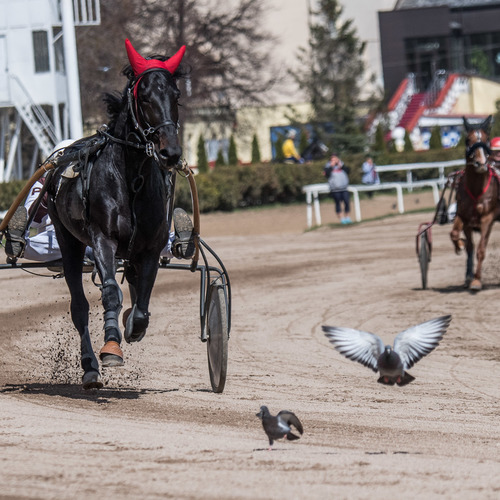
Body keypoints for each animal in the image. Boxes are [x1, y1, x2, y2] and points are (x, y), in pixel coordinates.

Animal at [46, 40, 188, 390]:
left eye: (176, 95)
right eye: (145, 96)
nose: (170, 152)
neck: (131, 178)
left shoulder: (150, 248)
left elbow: (143, 301)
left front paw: (133, 326)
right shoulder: (102, 239)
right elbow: (110, 292)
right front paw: (111, 347)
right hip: (68, 239)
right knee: (79, 306)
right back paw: (90, 367)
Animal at [450, 114, 500, 290]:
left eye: (486, 139)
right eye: (467, 140)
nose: (481, 163)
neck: (477, 189)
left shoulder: (487, 219)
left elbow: (480, 250)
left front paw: (477, 280)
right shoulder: (464, 217)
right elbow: (462, 240)